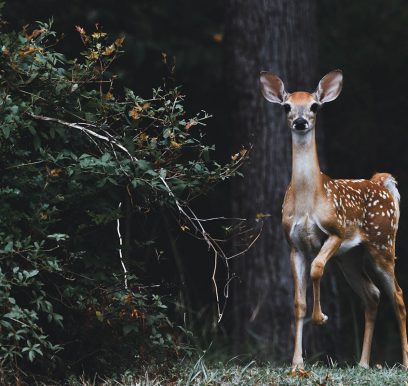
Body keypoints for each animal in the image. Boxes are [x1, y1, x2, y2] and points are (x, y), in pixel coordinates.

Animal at [260, 70, 406, 370]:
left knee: (397, 295)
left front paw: (321, 318)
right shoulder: (293, 245)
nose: (301, 121)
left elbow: (317, 269)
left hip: (383, 243)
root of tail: (382, 183)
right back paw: (362, 363)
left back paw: (405, 363)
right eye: (286, 107)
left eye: (315, 106)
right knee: (372, 294)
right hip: (350, 257)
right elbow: (298, 303)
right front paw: (297, 364)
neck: (308, 200)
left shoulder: (336, 232)